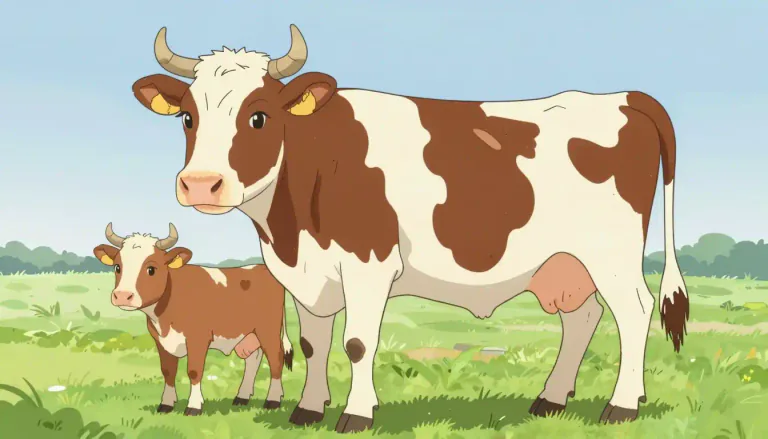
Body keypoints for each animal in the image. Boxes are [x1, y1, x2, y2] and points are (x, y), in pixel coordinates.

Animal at [92, 223, 294, 416]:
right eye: (117, 267)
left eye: (151, 269)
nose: (122, 295)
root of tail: (263, 267)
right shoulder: (160, 340)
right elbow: (168, 371)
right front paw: (166, 404)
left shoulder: (198, 338)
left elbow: (194, 371)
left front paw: (194, 406)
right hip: (249, 333)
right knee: (253, 359)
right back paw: (242, 397)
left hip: (268, 330)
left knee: (275, 359)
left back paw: (273, 401)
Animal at [130, 25, 690, 432]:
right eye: (186, 117)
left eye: (259, 117)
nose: (200, 184)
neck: (289, 230)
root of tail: (620, 97)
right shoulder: (307, 274)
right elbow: (313, 343)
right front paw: (308, 410)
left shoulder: (368, 263)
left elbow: (357, 342)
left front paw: (356, 414)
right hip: (565, 263)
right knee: (582, 318)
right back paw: (551, 399)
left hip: (611, 253)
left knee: (634, 312)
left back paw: (622, 406)